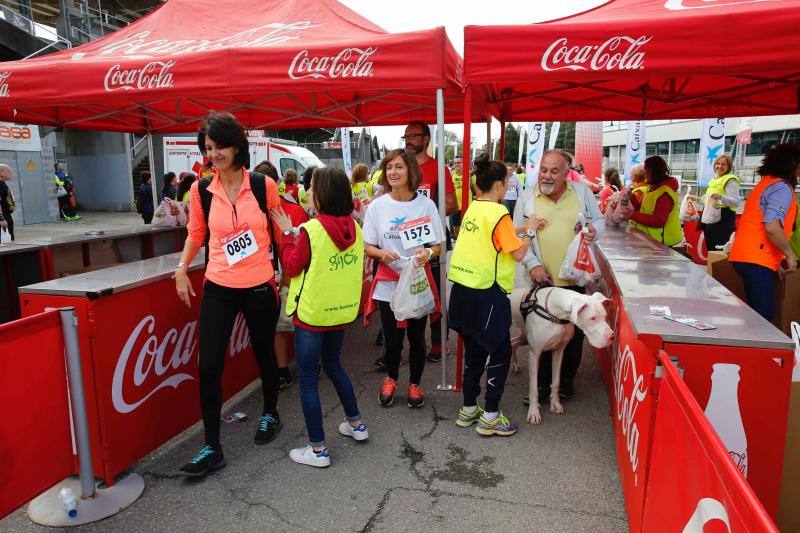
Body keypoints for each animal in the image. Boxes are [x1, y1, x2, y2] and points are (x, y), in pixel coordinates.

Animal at [510, 286, 616, 424]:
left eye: (605, 316)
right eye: (592, 318)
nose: (612, 336)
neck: (555, 314)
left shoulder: (559, 351)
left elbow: (555, 382)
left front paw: (555, 404)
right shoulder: (535, 353)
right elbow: (533, 388)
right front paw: (533, 412)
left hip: (524, 337)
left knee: (513, 343)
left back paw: (515, 365)